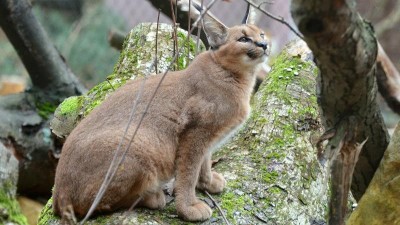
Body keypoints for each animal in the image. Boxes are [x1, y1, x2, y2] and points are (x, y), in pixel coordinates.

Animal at [53, 0, 270, 221]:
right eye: (244, 39)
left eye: (261, 34)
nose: (264, 45)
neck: (235, 75)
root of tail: (57, 196)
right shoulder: (195, 132)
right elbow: (188, 172)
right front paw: (188, 207)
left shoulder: (206, 137)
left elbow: (204, 161)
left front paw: (208, 183)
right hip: (139, 145)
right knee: (93, 206)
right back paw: (152, 197)